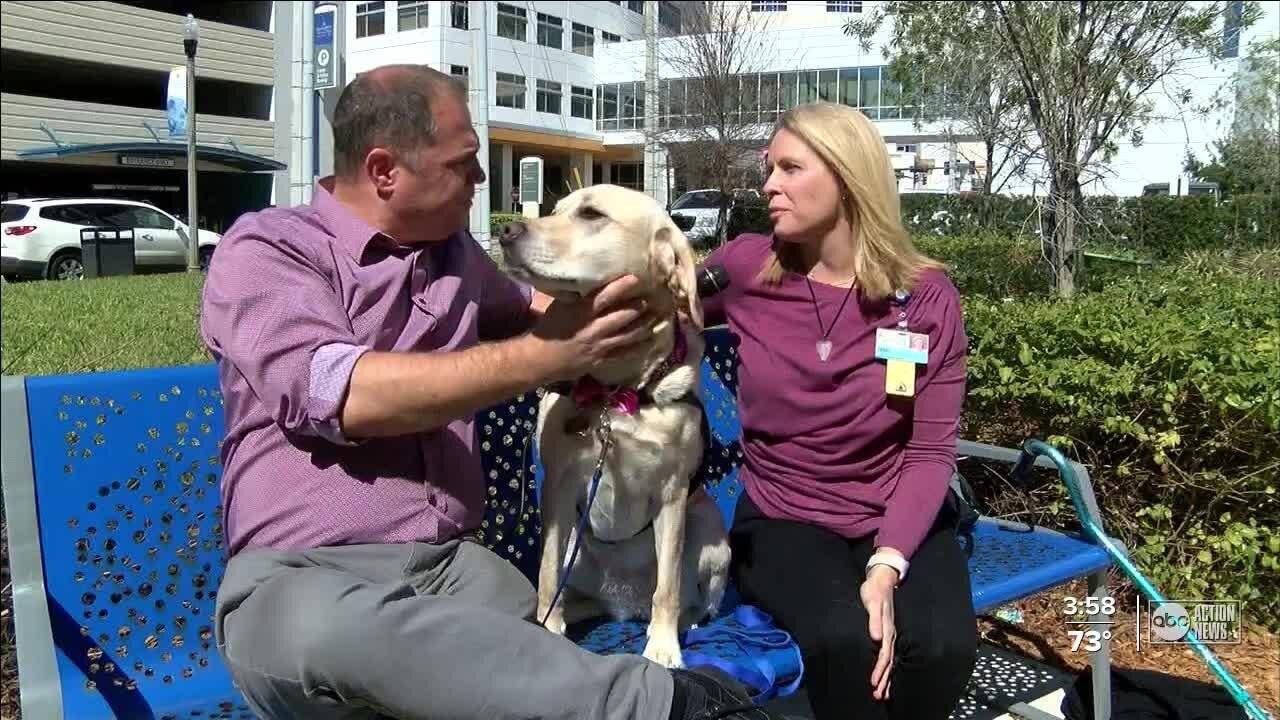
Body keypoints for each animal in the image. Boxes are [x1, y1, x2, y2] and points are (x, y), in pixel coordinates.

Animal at [496, 181, 727, 666]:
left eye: (592, 214)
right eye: (555, 209)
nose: (505, 229)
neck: (615, 392)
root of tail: (622, 607)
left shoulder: (673, 496)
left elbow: (667, 587)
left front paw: (663, 646)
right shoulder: (558, 488)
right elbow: (547, 574)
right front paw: (548, 628)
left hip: (711, 530)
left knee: (691, 599)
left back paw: (679, 622)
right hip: (577, 547)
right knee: (572, 592)